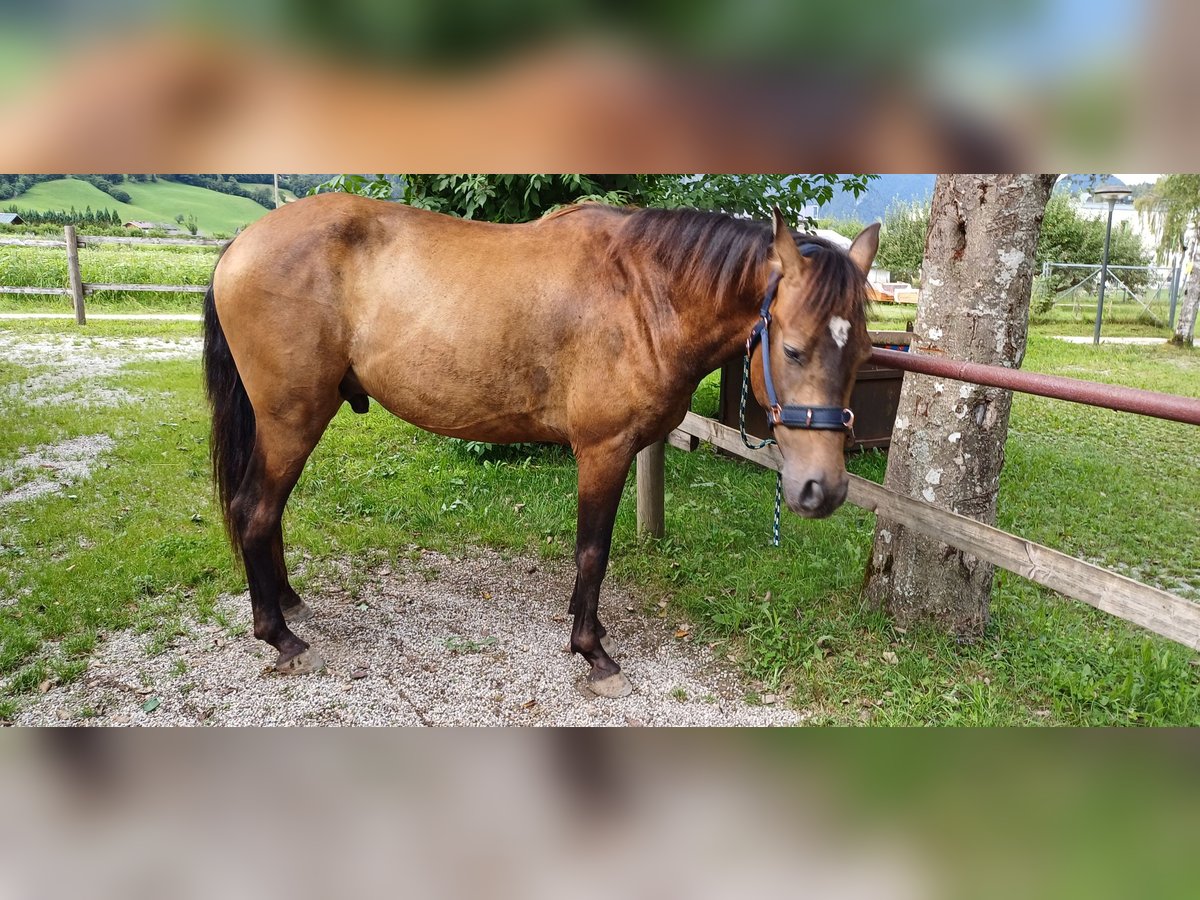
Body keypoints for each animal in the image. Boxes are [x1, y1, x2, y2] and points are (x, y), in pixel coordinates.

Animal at [204, 194, 883, 700]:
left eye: (863, 352)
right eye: (792, 349)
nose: (823, 489)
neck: (643, 293)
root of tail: (239, 243)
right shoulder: (604, 450)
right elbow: (593, 552)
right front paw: (594, 653)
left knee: (268, 513)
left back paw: (289, 605)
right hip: (291, 419)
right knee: (255, 511)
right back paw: (281, 637)